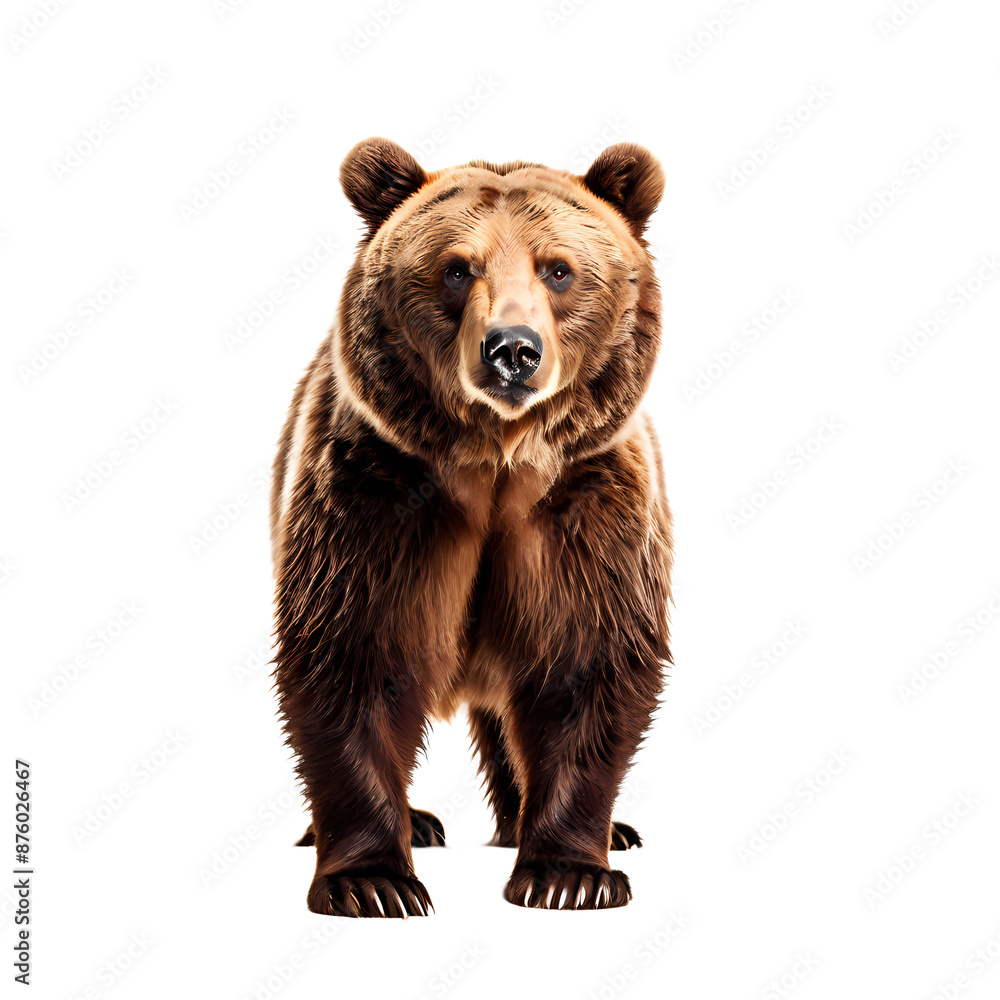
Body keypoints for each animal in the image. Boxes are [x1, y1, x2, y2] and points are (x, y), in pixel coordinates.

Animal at [270, 136, 673, 917]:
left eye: (558, 269)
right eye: (457, 268)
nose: (512, 349)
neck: (496, 464)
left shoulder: (586, 511)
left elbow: (586, 665)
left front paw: (569, 873)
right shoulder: (376, 498)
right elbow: (352, 656)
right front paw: (373, 881)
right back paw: (415, 823)